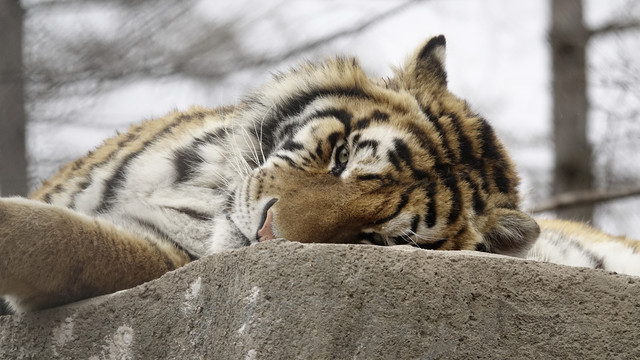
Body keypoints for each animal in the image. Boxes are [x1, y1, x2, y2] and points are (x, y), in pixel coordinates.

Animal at [1, 35, 640, 314]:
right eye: (342, 157)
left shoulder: (161, 258)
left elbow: (57, 238)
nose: (264, 235)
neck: (200, 187)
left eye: (374, 239)